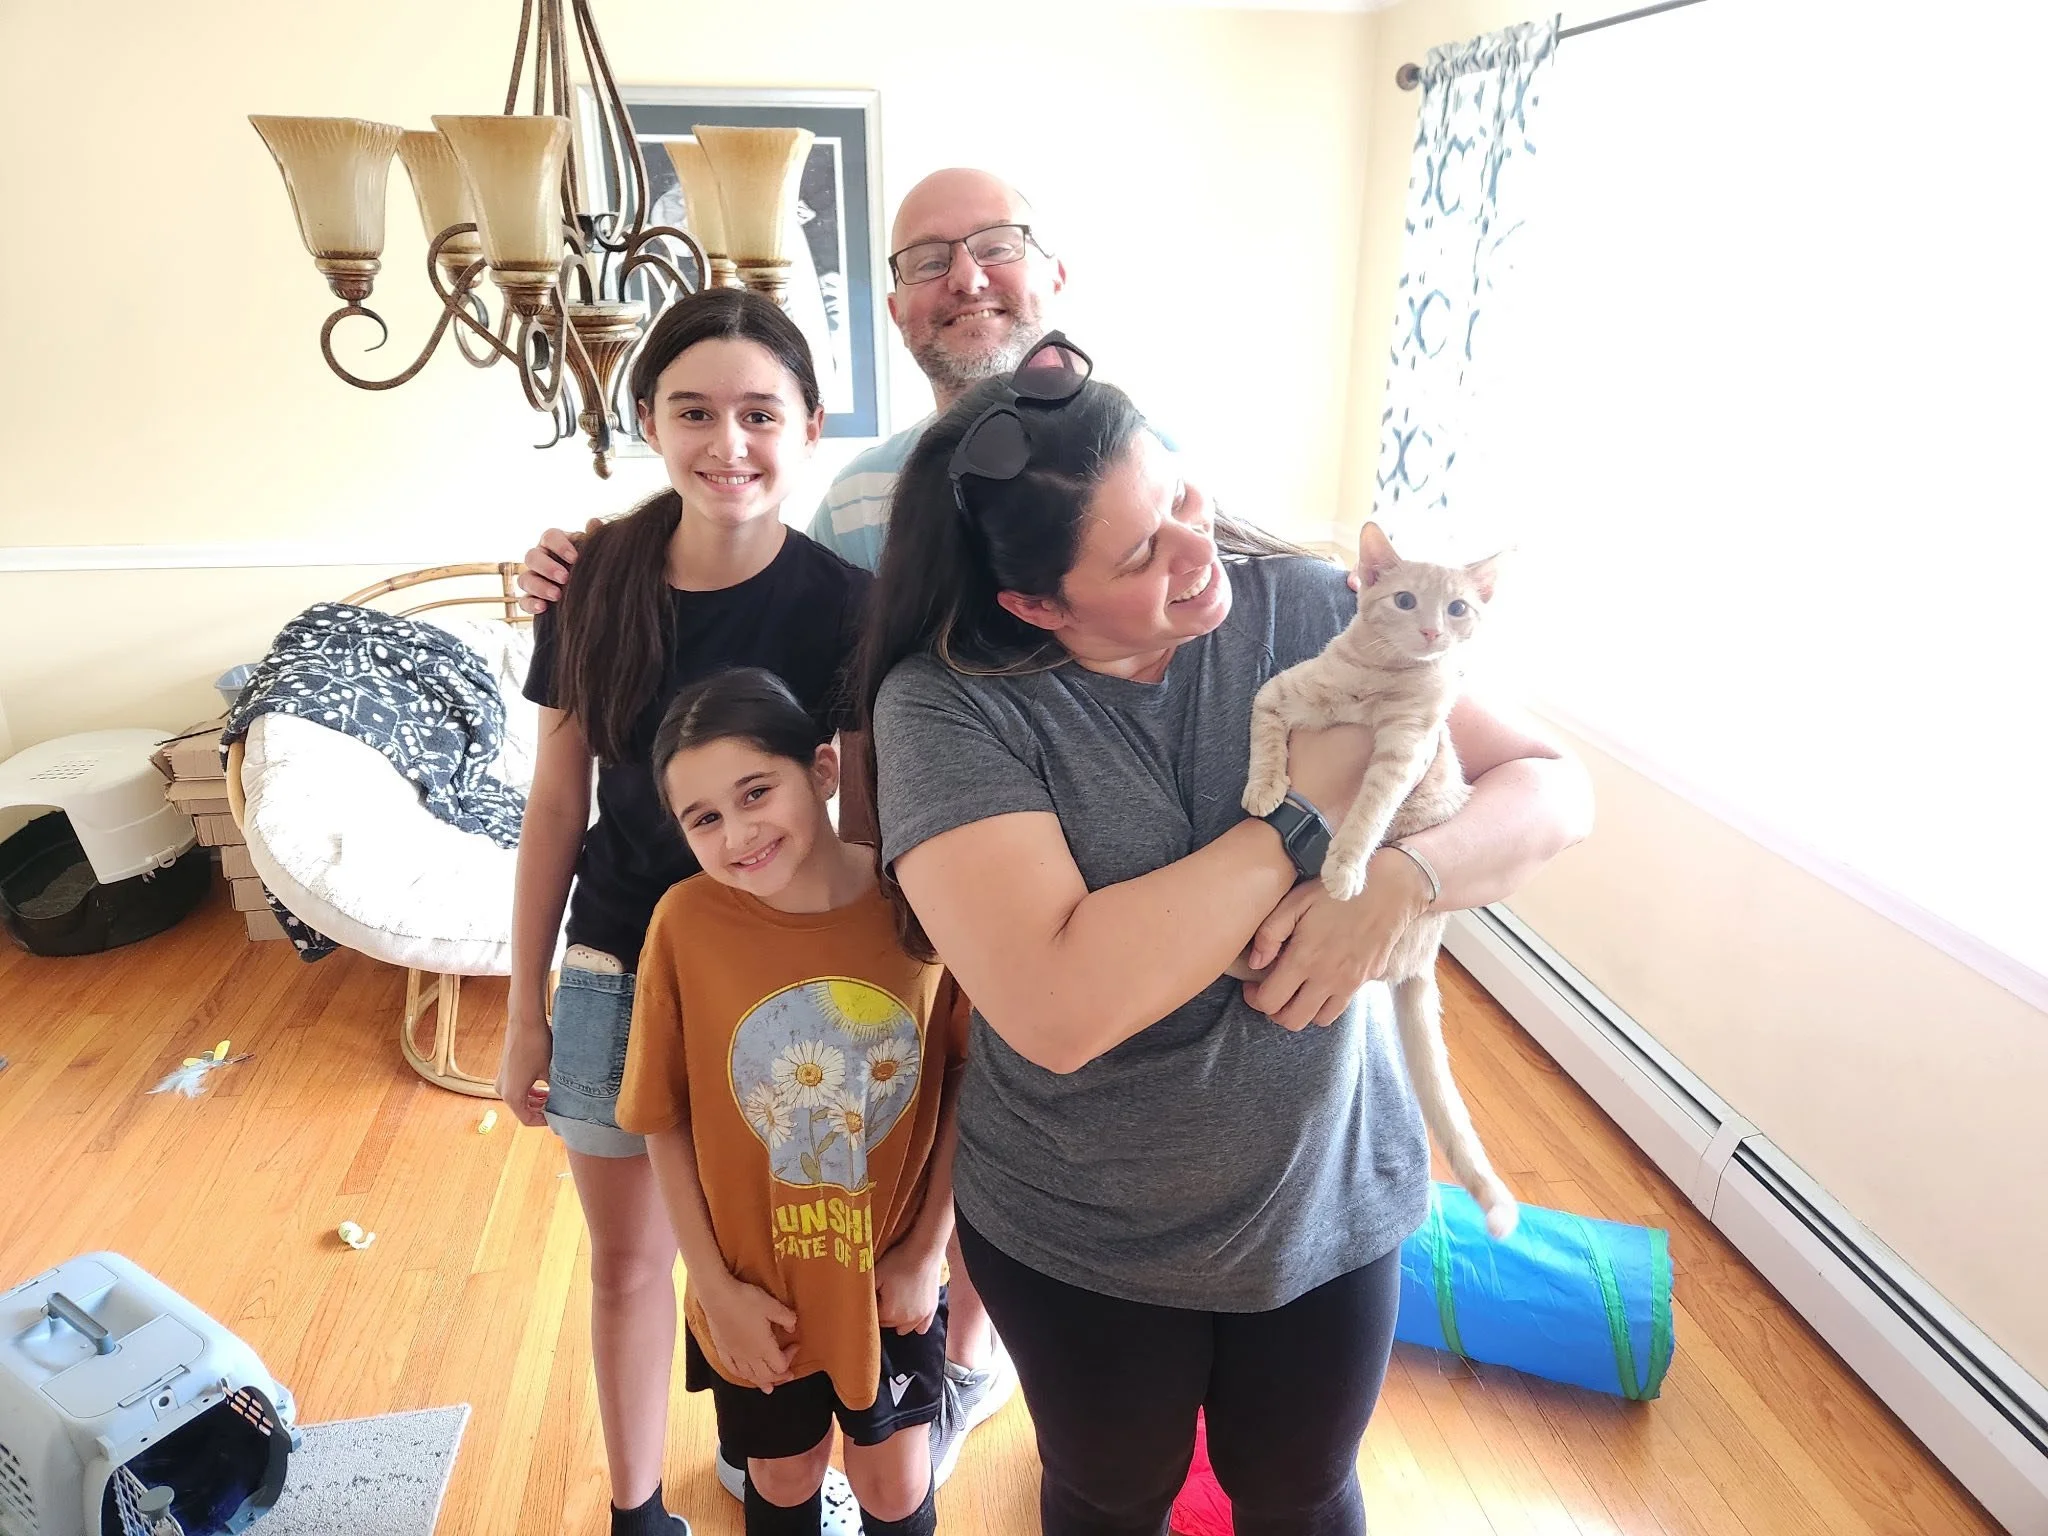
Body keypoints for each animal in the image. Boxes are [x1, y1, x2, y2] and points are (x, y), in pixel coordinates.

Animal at [1242, 521, 1519, 1239]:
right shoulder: (1278, 696)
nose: (1431, 630)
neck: (1374, 680)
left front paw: (1344, 866)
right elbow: (1267, 743)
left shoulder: (1404, 752)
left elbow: (1367, 815)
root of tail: (1423, 955)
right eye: (1403, 600)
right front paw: (1264, 788)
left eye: (1458, 608)